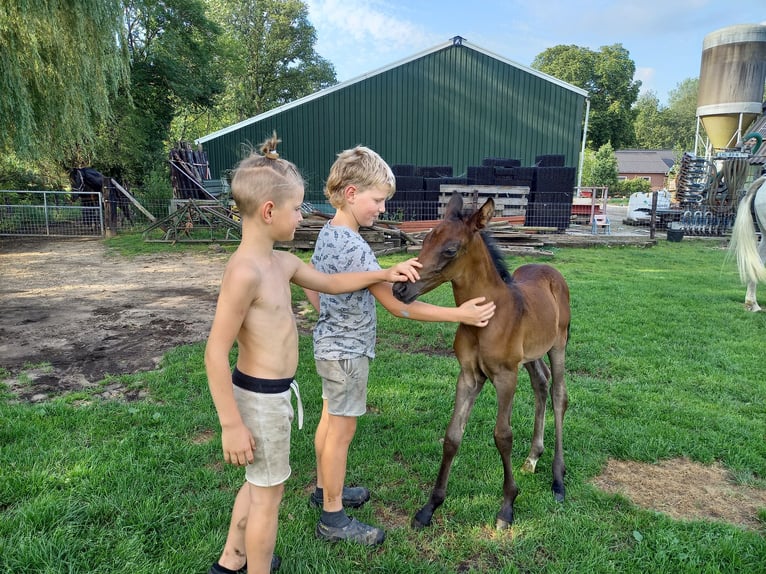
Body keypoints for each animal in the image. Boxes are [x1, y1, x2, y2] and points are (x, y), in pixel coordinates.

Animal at [396, 192, 568, 532]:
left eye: (450, 249)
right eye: (425, 241)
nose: (400, 288)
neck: (485, 317)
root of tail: (549, 269)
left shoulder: (505, 376)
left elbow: (503, 436)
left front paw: (507, 507)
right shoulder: (469, 375)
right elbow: (452, 436)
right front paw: (429, 507)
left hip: (558, 346)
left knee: (558, 395)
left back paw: (557, 479)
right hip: (530, 355)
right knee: (541, 384)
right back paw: (533, 457)